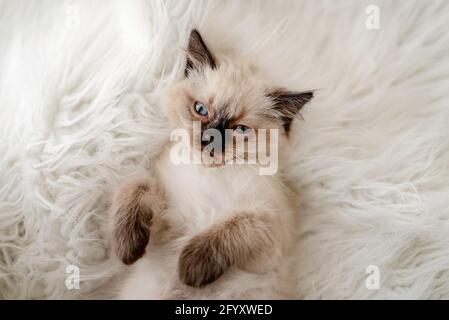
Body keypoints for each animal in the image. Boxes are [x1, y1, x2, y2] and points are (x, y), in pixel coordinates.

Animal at [110, 30, 314, 300]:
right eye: (200, 109)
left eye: (240, 129)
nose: (208, 139)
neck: (207, 172)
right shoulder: (165, 212)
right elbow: (136, 184)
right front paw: (128, 248)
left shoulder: (267, 227)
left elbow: (228, 228)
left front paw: (188, 269)